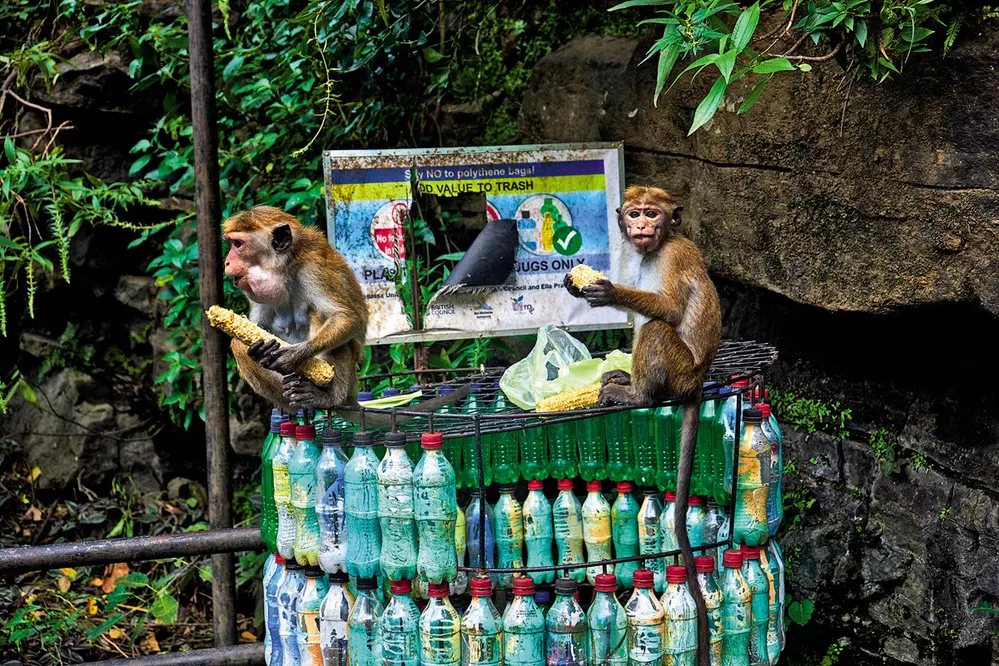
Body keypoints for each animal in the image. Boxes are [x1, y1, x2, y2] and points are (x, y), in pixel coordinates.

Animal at [572, 185, 720, 664]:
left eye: (652, 214)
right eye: (635, 212)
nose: (640, 225)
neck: (654, 249)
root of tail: (697, 382)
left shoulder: (675, 255)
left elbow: (669, 310)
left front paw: (608, 290)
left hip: (679, 371)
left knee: (656, 327)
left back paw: (639, 394)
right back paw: (628, 381)